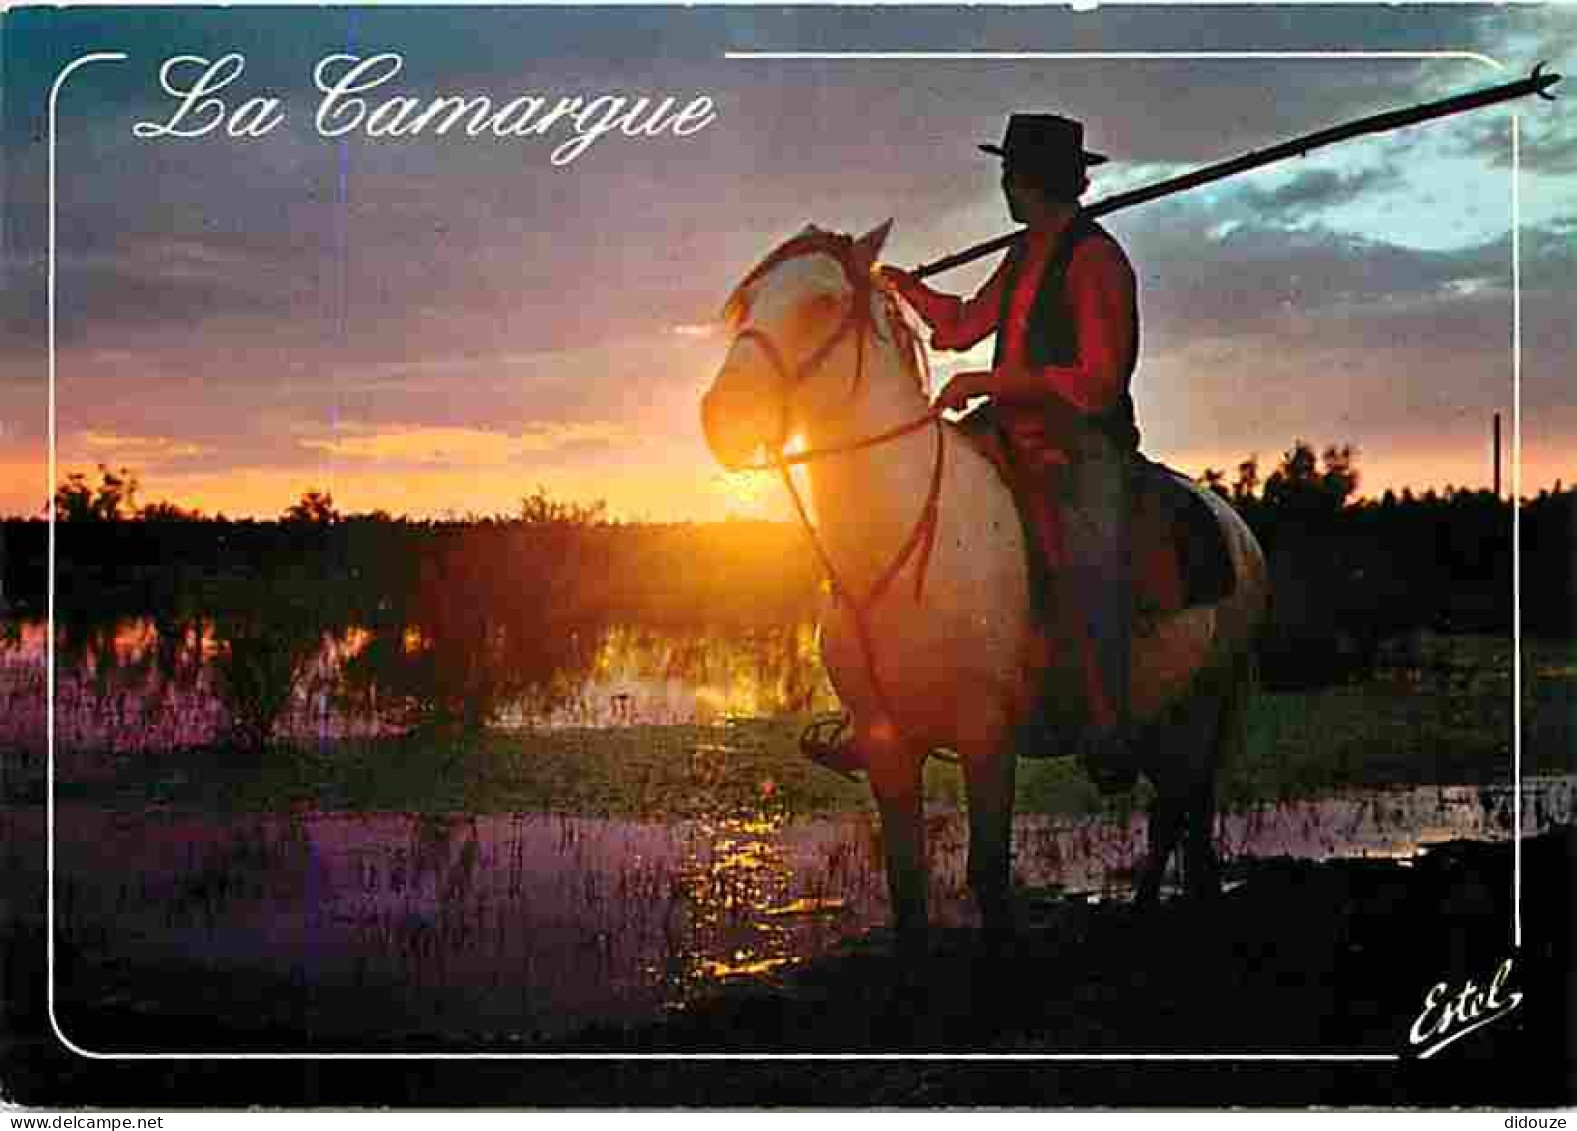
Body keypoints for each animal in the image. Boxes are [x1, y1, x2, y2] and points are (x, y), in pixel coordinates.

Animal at [703, 225, 1267, 946]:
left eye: (823, 303)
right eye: (746, 307)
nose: (721, 418)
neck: (902, 545)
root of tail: (1234, 526)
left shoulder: (986, 738)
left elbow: (990, 874)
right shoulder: (886, 742)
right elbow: (907, 882)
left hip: (1203, 703)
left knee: (1179, 808)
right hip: (1163, 709)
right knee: (1180, 812)